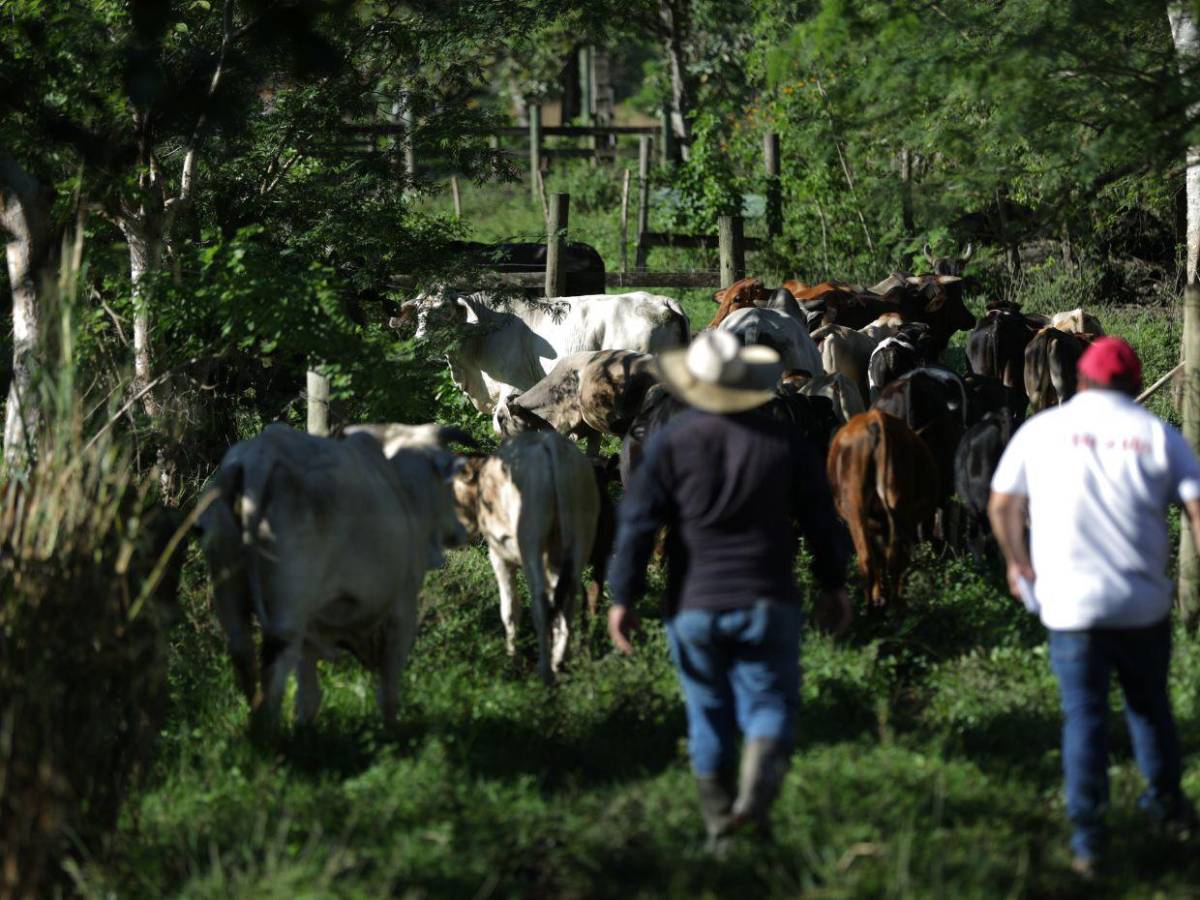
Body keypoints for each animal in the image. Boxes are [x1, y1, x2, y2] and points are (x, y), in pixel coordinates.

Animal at [196, 424, 463, 734]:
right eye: (448, 487)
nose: (461, 530)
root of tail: (260, 454)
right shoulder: (403, 608)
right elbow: (388, 687)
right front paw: (391, 730)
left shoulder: (315, 624)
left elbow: (308, 695)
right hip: (288, 611)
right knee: (274, 668)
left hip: (230, 598)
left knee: (244, 658)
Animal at [451, 434, 600, 686]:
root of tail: (551, 443)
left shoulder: (498, 554)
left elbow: (510, 608)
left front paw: (512, 659)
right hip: (581, 538)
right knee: (569, 597)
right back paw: (558, 660)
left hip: (530, 542)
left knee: (540, 601)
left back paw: (545, 671)